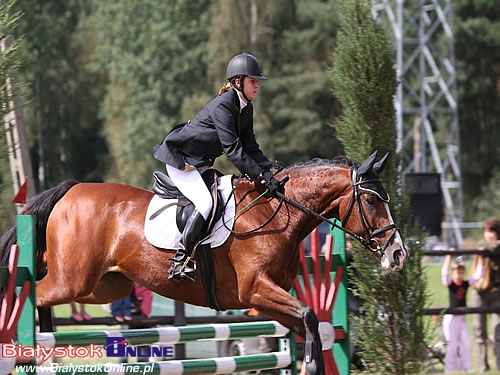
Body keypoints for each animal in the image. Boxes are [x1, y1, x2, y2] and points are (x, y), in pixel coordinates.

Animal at [0, 151, 406, 374]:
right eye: (372, 201)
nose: (398, 254)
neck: (278, 214)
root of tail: (70, 189)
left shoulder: (268, 298)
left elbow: (307, 323)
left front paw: (307, 361)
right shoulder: (256, 290)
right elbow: (308, 315)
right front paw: (309, 364)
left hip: (103, 285)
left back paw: (47, 352)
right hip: (73, 279)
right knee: (32, 293)